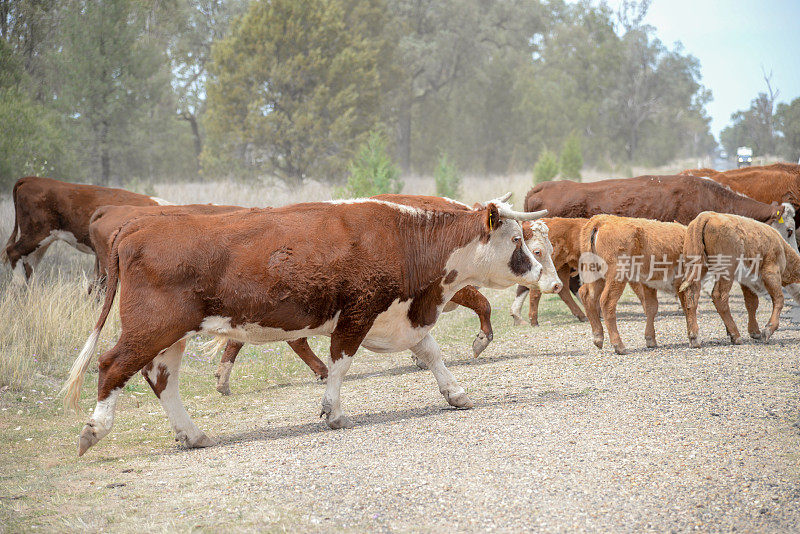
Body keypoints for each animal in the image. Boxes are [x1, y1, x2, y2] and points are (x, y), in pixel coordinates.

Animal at [64, 197, 552, 456]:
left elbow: (431, 353)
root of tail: (139, 225)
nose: (541, 277)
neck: (404, 238)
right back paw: (95, 430)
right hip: (152, 328)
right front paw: (333, 412)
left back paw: (192, 433)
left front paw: (456, 393)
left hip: (172, 336)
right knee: (112, 366)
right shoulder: (357, 315)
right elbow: (340, 362)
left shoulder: (400, 316)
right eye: (517, 240)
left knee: (161, 378)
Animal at [680, 211, 800, 346]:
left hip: (695, 267)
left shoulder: (747, 280)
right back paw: (735, 335)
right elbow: (779, 299)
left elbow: (752, 303)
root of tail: (709, 215)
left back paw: (694, 337)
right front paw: (768, 330)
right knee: (719, 297)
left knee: (691, 296)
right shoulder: (771, 272)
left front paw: (755, 331)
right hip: (726, 271)